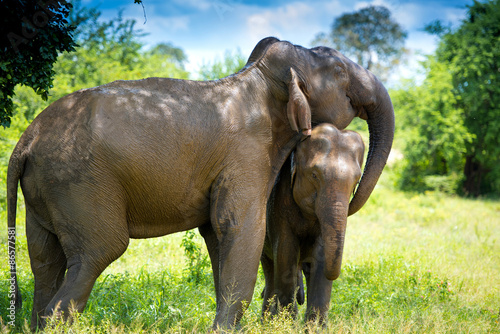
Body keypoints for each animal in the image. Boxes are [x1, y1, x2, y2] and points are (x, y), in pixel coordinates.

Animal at [264, 123, 366, 324]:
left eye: (356, 181)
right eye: (314, 175)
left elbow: (321, 257)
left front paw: (314, 327)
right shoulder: (277, 205)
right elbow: (285, 255)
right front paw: (286, 325)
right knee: (269, 268)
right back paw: (268, 321)